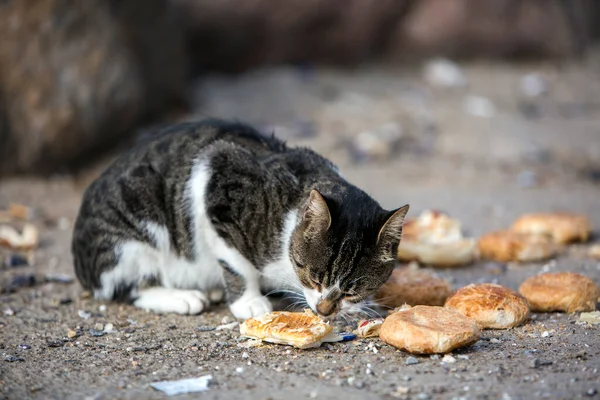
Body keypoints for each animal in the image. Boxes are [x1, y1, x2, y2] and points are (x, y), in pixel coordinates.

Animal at [70, 120, 408, 320]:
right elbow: (236, 261)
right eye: (311, 276)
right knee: (126, 288)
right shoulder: (216, 179)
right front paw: (248, 301)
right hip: (133, 238)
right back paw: (182, 297)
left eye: (353, 288)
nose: (324, 311)